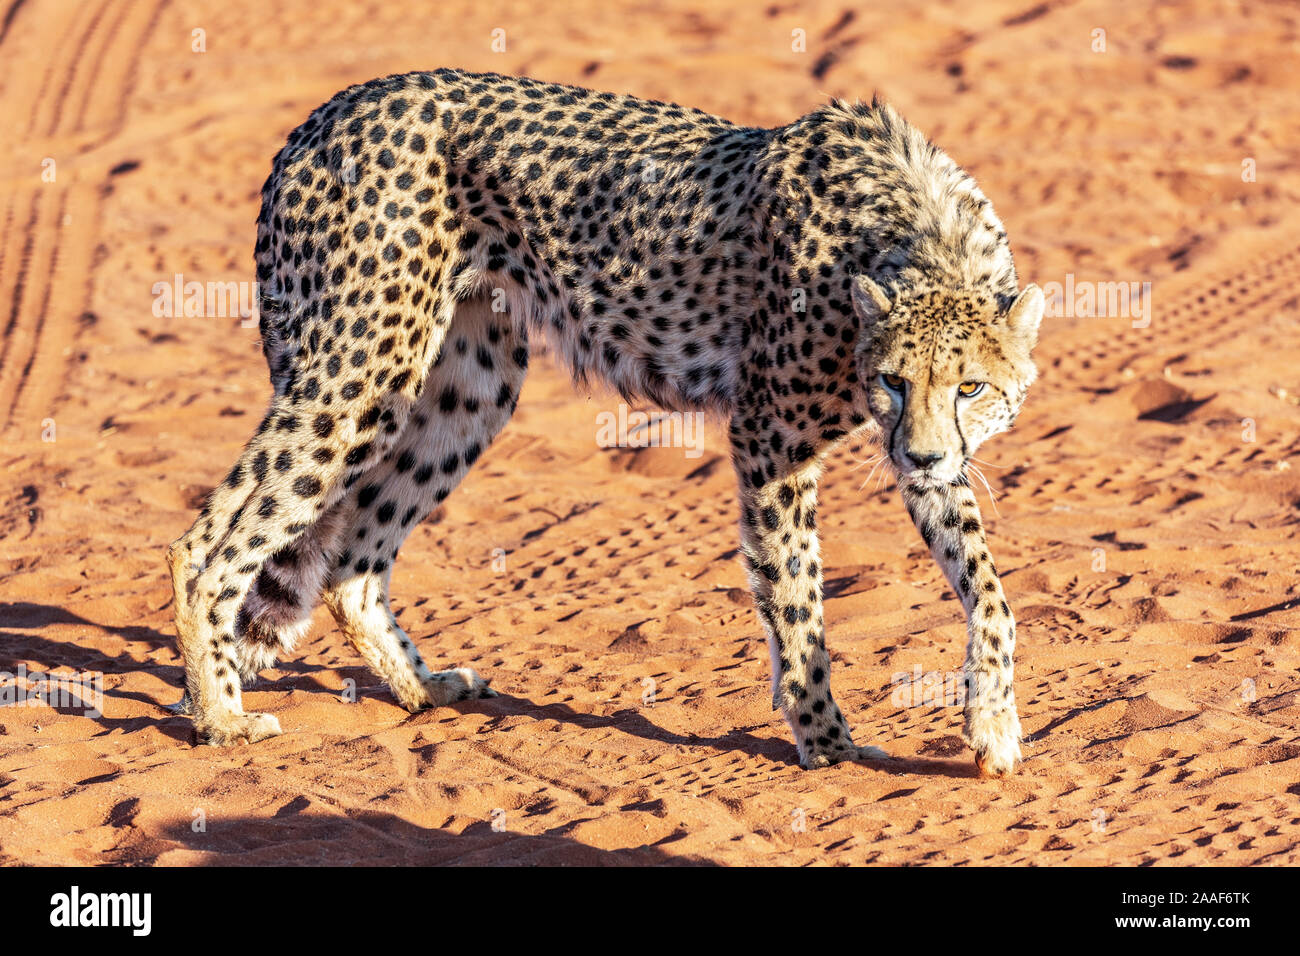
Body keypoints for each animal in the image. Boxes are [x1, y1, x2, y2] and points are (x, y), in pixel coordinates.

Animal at [170, 70, 1045, 780]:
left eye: (970, 387)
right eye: (893, 380)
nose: (921, 453)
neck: (919, 238)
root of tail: (328, 112)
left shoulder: (936, 458)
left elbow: (990, 590)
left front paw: (994, 728)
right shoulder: (772, 438)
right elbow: (797, 599)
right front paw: (827, 742)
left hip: (469, 387)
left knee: (353, 559)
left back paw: (423, 687)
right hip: (357, 369)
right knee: (209, 541)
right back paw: (222, 717)